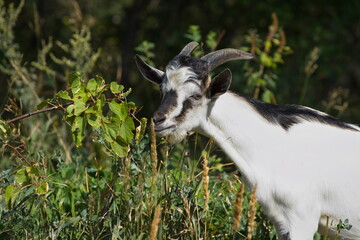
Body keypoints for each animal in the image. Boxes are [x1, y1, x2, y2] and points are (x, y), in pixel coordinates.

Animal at [135, 41, 360, 240]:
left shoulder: (303, 217)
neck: (277, 145)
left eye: (197, 95)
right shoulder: (280, 220)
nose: (159, 120)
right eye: (162, 91)